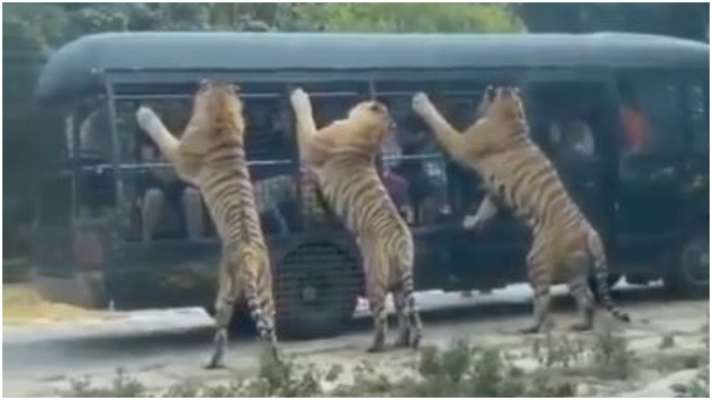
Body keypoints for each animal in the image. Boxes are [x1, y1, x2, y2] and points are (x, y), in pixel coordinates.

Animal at [135, 80, 280, 368]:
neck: (222, 115)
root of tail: (248, 253)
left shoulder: (180, 154)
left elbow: (162, 134)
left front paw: (144, 113)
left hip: (225, 289)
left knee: (223, 327)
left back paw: (214, 361)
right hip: (264, 289)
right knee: (270, 329)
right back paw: (276, 364)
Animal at [290, 88, 422, 354]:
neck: (370, 133)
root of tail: (401, 241)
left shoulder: (311, 142)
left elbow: (305, 117)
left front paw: (298, 95)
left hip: (374, 278)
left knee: (381, 316)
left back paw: (376, 345)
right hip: (400, 284)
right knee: (406, 312)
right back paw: (404, 341)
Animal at [412, 87, 628, 334]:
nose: (478, 101)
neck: (512, 114)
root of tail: (590, 232)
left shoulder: (463, 145)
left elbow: (442, 124)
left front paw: (421, 101)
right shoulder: (494, 193)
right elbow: (486, 208)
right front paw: (472, 222)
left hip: (537, 259)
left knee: (543, 298)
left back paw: (532, 326)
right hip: (575, 268)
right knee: (586, 297)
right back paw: (581, 325)